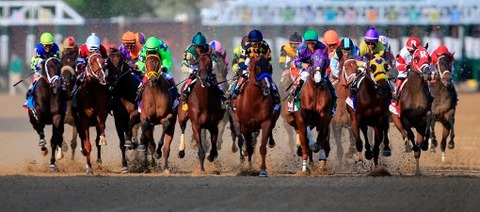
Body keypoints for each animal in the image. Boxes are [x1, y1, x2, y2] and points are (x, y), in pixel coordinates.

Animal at [392, 46, 434, 174]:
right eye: (416, 58)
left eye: (429, 57)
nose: (427, 73)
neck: (415, 92)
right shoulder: (404, 117)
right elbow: (409, 133)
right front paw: (412, 146)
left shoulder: (424, 118)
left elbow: (428, 120)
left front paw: (425, 144)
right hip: (395, 118)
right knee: (404, 134)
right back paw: (409, 146)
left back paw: (418, 169)